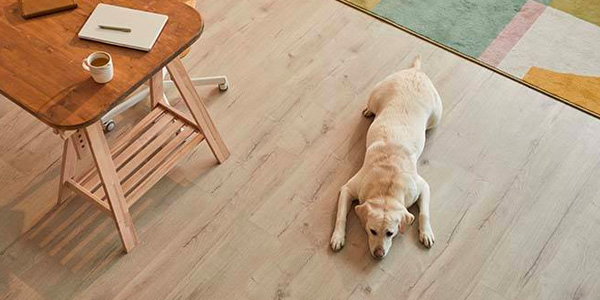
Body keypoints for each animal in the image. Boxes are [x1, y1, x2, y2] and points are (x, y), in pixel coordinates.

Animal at [328, 56, 440, 260]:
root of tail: (416, 71)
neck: (387, 185)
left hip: (436, 116)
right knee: (371, 105)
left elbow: (424, 213)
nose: (379, 254)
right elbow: (341, 216)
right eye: (372, 231)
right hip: (375, 96)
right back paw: (368, 111)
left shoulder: (422, 186)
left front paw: (426, 233)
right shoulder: (348, 188)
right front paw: (337, 237)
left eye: (390, 233)